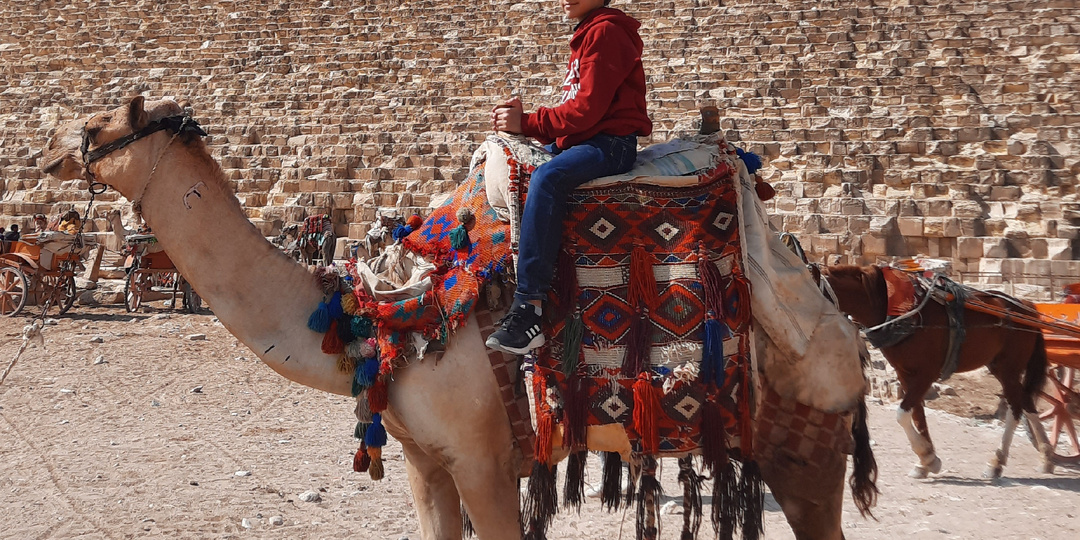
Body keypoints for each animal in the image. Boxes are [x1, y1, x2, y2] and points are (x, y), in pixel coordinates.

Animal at [44, 98, 876, 540]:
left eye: (103, 125)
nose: (52, 151)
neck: (388, 313)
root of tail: (834, 307)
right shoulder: (426, 464)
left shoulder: (485, 459)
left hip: (806, 445)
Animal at [816, 263, 1054, 479]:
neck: (896, 308)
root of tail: (1027, 306)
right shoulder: (905, 373)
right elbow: (917, 414)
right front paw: (926, 461)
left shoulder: (926, 373)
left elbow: (902, 414)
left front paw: (927, 457)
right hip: (999, 367)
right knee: (1027, 402)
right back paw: (1046, 456)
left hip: (1009, 368)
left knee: (1016, 408)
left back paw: (997, 462)